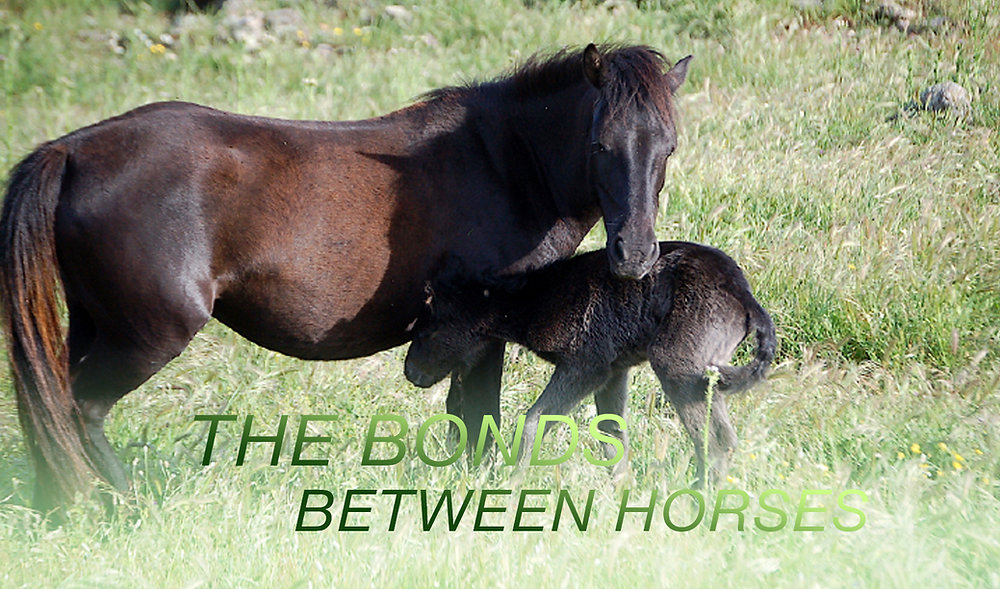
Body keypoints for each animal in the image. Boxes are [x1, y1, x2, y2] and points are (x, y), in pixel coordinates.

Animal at [0, 44, 690, 511]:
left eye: (669, 148)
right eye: (599, 144)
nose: (634, 255)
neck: (503, 163)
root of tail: (71, 152)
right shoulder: (483, 333)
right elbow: (480, 421)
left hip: (97, 325)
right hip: (148, 335)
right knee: (81, 409)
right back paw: (122, 504)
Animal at [404, 242, 775, 485]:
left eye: (428, 329)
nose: (411, 372)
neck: (535, 300)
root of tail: (744, 297)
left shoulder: (586, 365)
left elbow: (534, 420)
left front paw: (511, 483)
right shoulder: (615, 371)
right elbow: (611, 432)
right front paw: (621, 491)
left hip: (680, 366)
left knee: (716, 441)